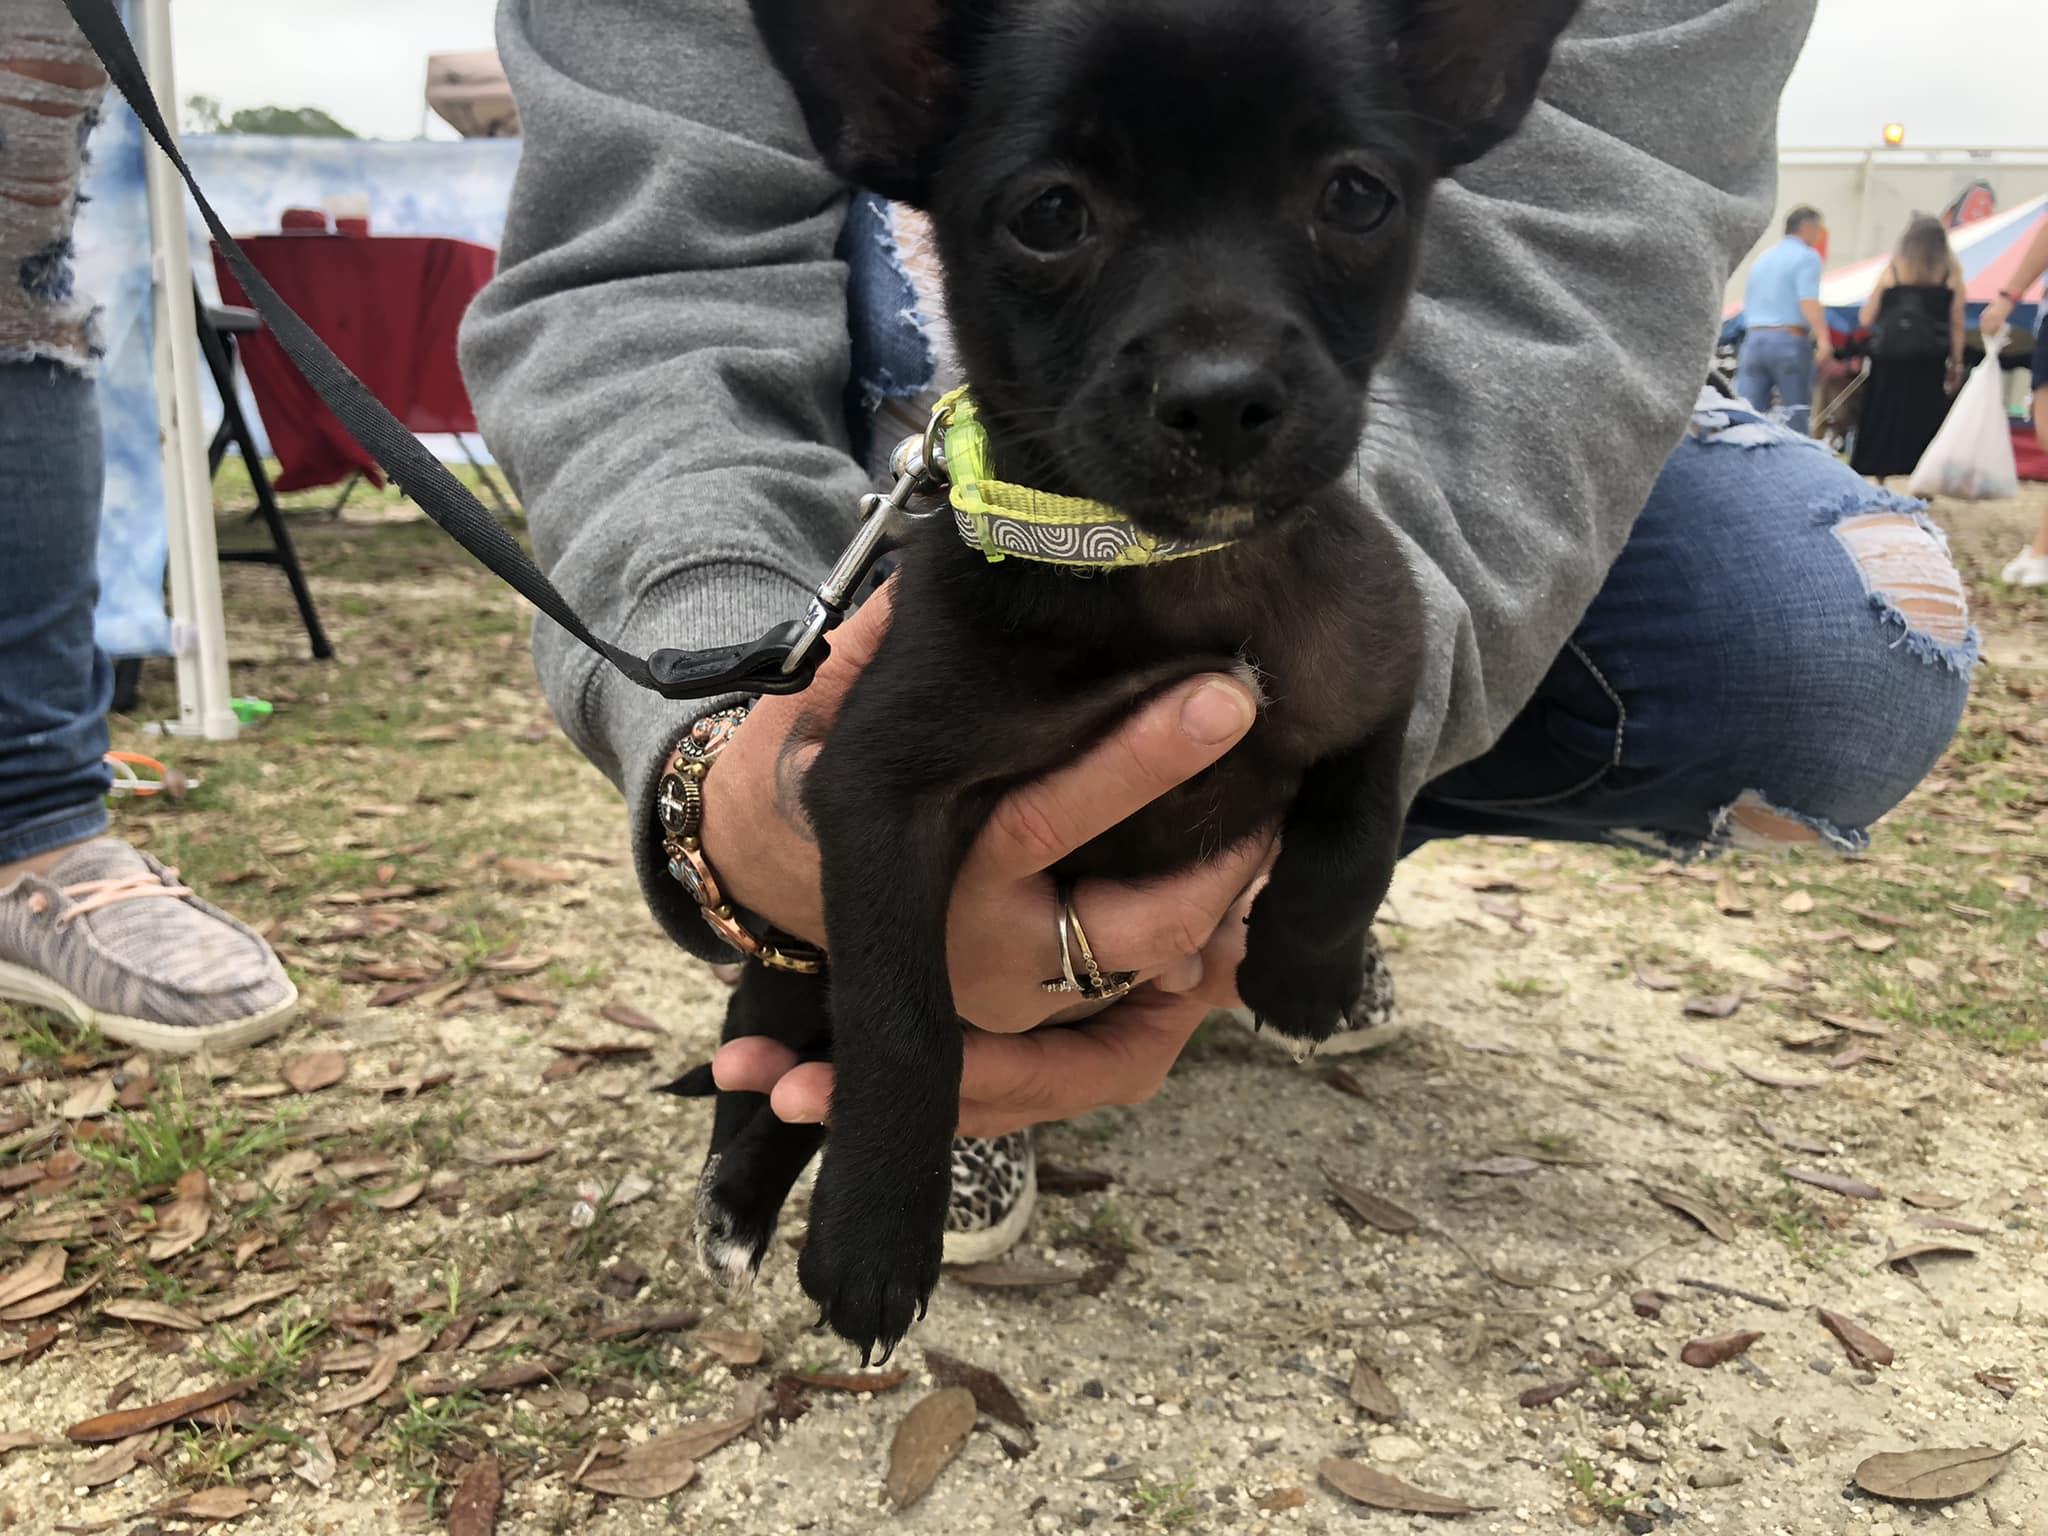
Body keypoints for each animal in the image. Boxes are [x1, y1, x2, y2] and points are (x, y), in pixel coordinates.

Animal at [688, 0, 1581, 1368]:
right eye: (1049, 214)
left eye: (1355, 196)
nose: (1221, 400)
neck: (1169, 569)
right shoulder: (876, 798)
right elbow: (904, 1023)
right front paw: (872, 1240)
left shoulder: (1377, 660)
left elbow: (1358, 831)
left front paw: (1300, 973)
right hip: (788, 962)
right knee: (775, 1065)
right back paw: (739, 1203)